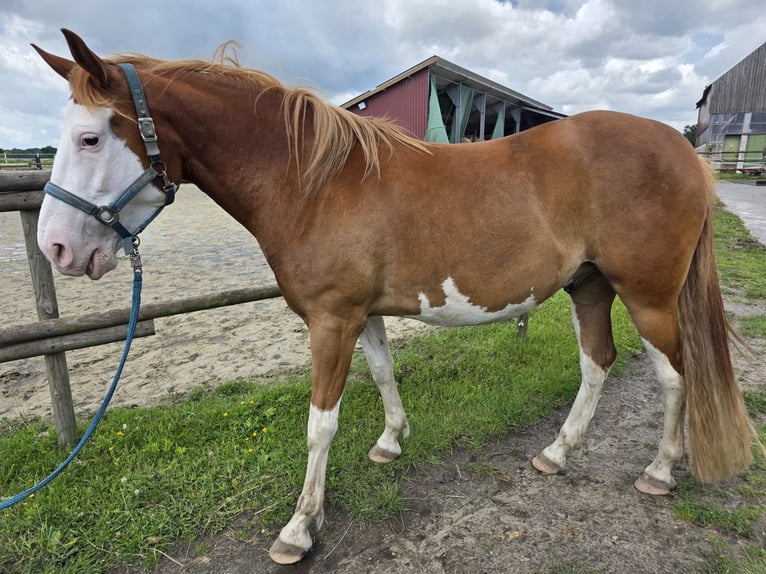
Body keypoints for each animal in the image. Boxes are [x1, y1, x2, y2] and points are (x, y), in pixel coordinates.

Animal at [32, 30, 759, 565]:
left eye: (91, 137)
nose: (56, 249)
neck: (314, 182)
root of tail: (682, 153)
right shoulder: (361, 315)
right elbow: (383, 374)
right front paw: (391, 441)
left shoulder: (331, 321)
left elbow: (320, 423)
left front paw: (300, 528)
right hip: (590, 287)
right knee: (597, 363)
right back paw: (557, 452)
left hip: (648, 296)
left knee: (675, 375)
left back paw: (660, 470)